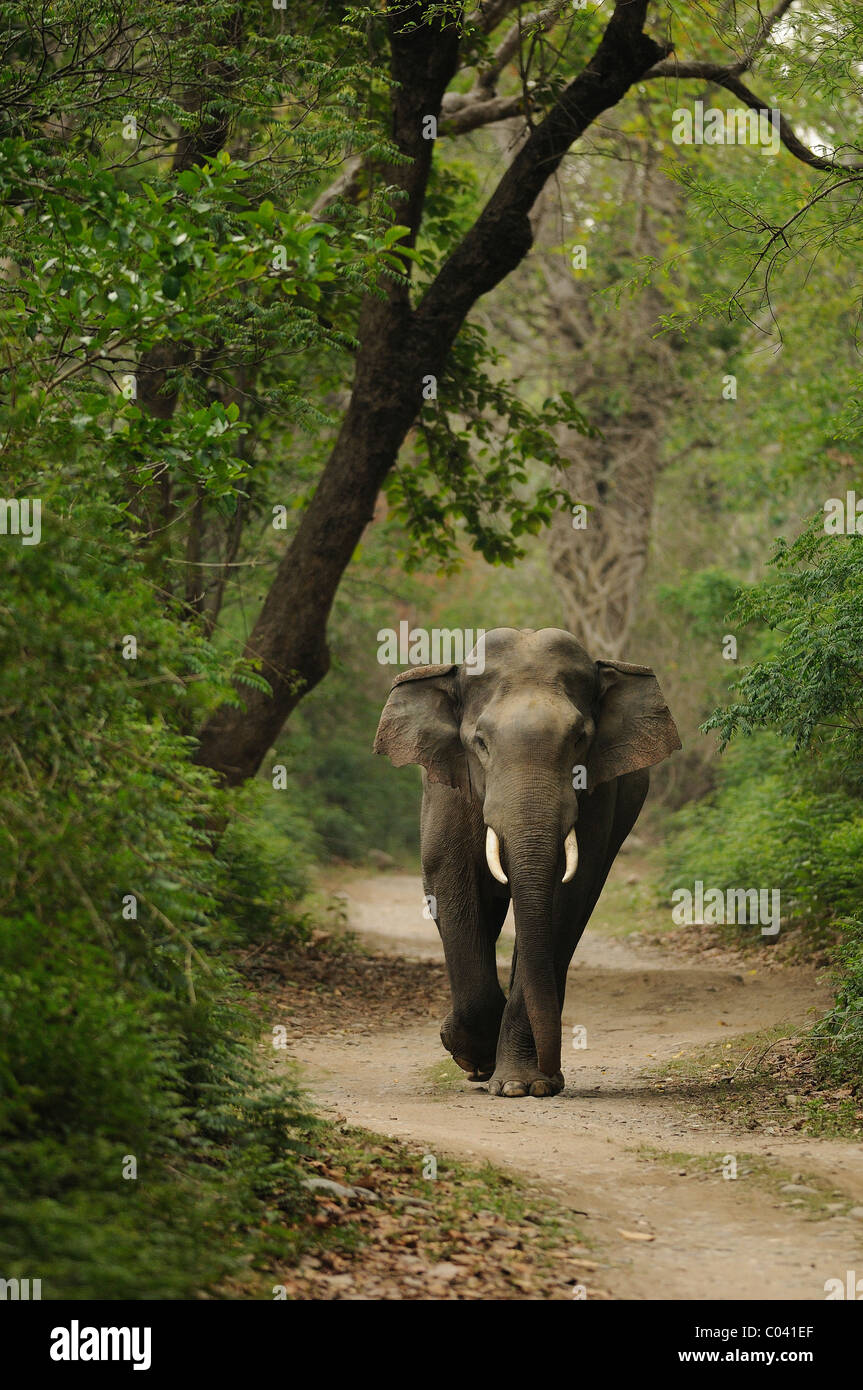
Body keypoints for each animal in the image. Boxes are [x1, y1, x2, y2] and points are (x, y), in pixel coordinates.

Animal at [369, 631, 680, 1095]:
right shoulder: (446, 788)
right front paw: (474, 1057)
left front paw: (523, 1085)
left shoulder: (598, 796)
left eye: (579, 739)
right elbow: (449, 881)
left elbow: (569, 892)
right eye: (480, 742)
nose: (555, 1071)